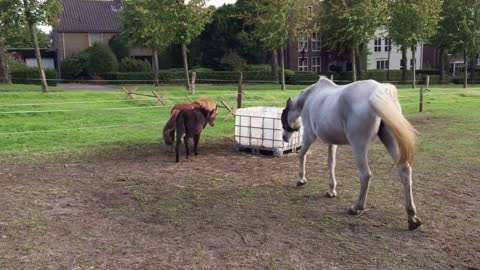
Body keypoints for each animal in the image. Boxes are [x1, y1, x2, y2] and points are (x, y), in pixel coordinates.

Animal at [284, 77, 422, 230]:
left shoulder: (309, 134)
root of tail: (378, 90)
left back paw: (357, 208)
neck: (310, 96)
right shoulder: (332, 142)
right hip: (390, 141)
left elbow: (302, 154)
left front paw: (301, 179)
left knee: (365, 174)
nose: (284, 138)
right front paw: (331, 190)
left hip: (358, 146)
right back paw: (412, 218)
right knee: (404, 171)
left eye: (283, 116)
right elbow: (331, 163)